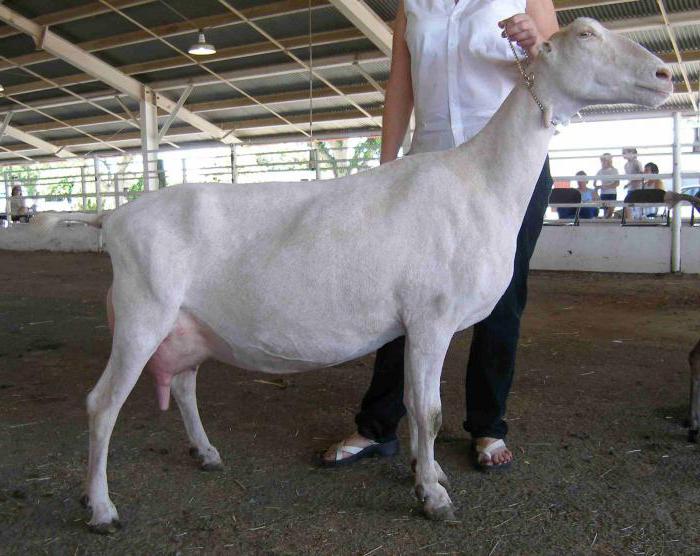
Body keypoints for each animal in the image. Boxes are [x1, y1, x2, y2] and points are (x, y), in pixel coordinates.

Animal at [68, 20, 668, 536]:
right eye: (586, 34)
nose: (665, 75)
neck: (480, 180)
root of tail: (114, 217)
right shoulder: (431, 317)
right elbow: (428, 411)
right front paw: (434, 497)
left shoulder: (416, 324)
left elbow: (416, 407)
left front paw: (428, 473)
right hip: (142, 314)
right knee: (101, 404)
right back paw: (101, 509)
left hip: (188, 324)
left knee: (184, 385)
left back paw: (207, 453)